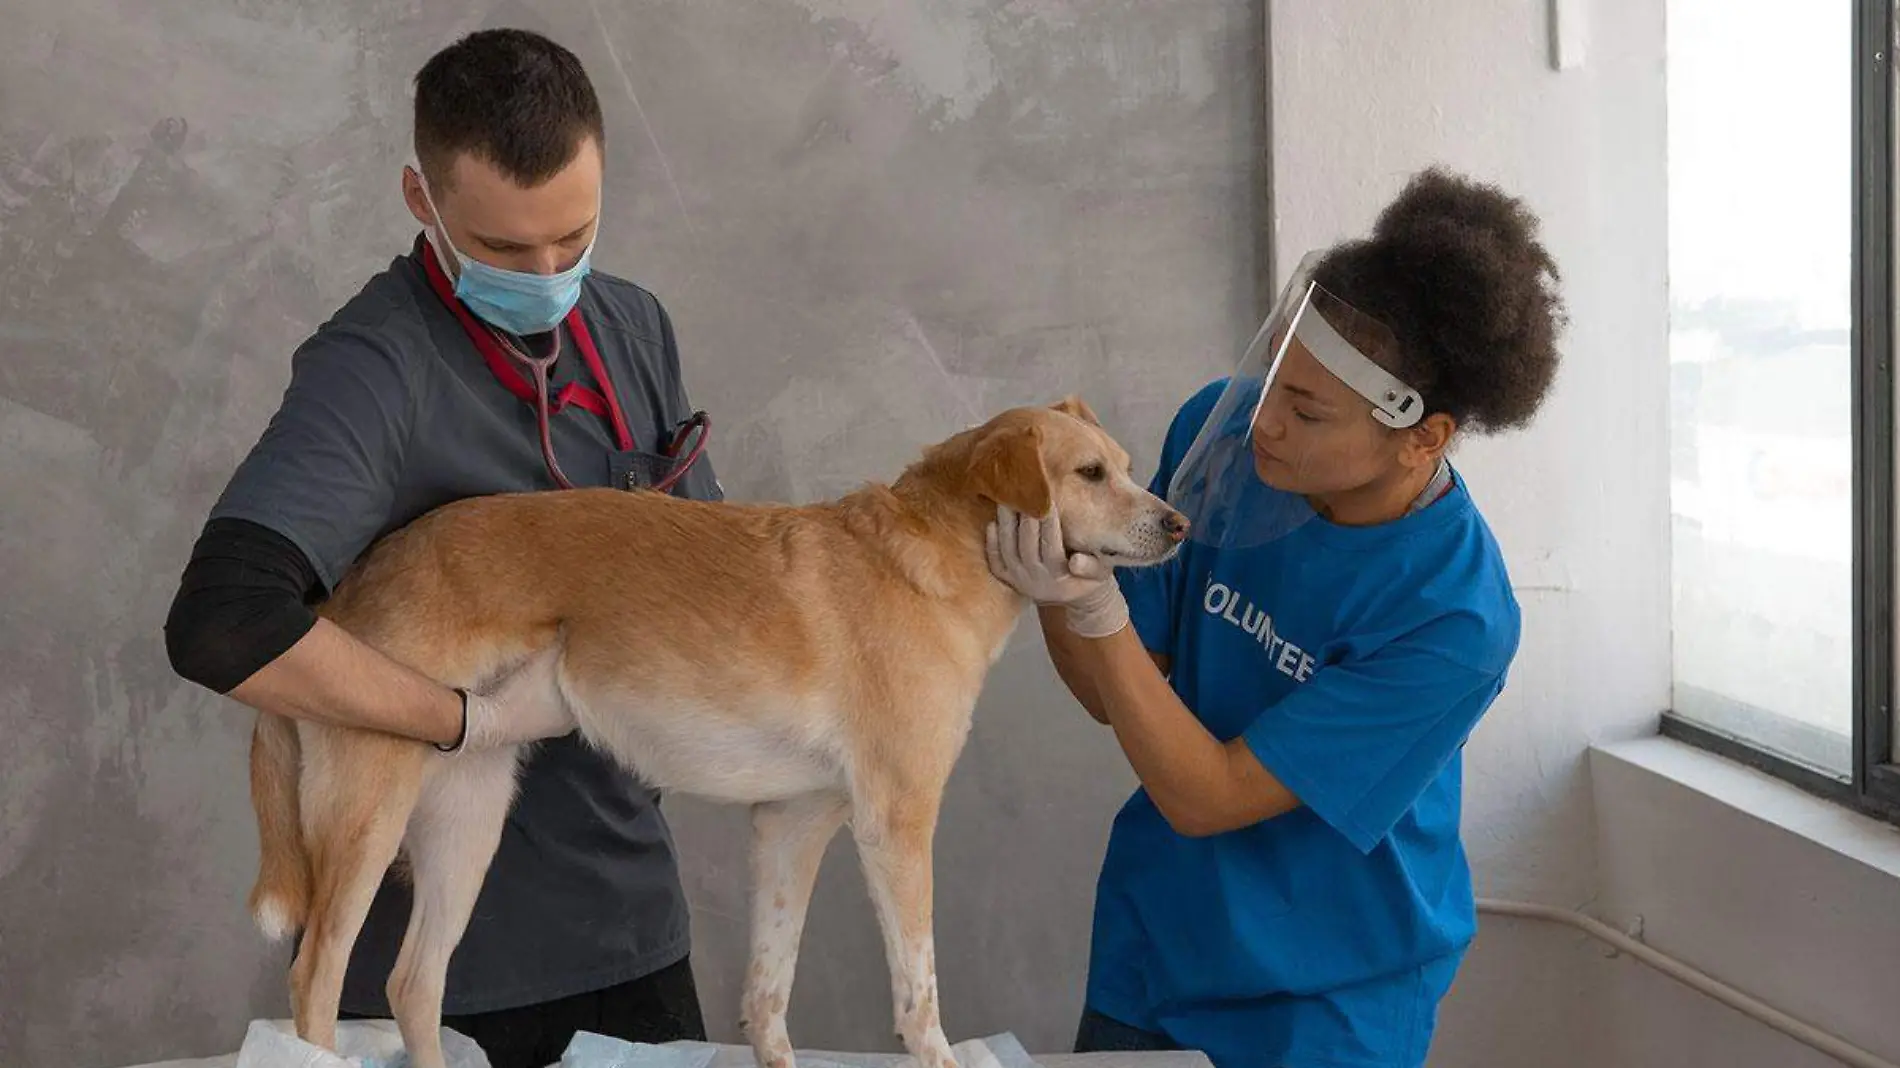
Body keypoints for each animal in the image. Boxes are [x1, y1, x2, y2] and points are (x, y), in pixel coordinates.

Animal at [243, 393, 1178, 1064]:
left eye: (1131, 469)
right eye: (1090, 473)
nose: (1178, 522)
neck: (932, 557)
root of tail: (342, 593)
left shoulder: (793, 824)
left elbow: (768, 996)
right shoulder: (897, 822)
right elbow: (921, 998)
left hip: (466, 822)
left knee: (414, 984)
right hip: (369, 816)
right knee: (318, 980)